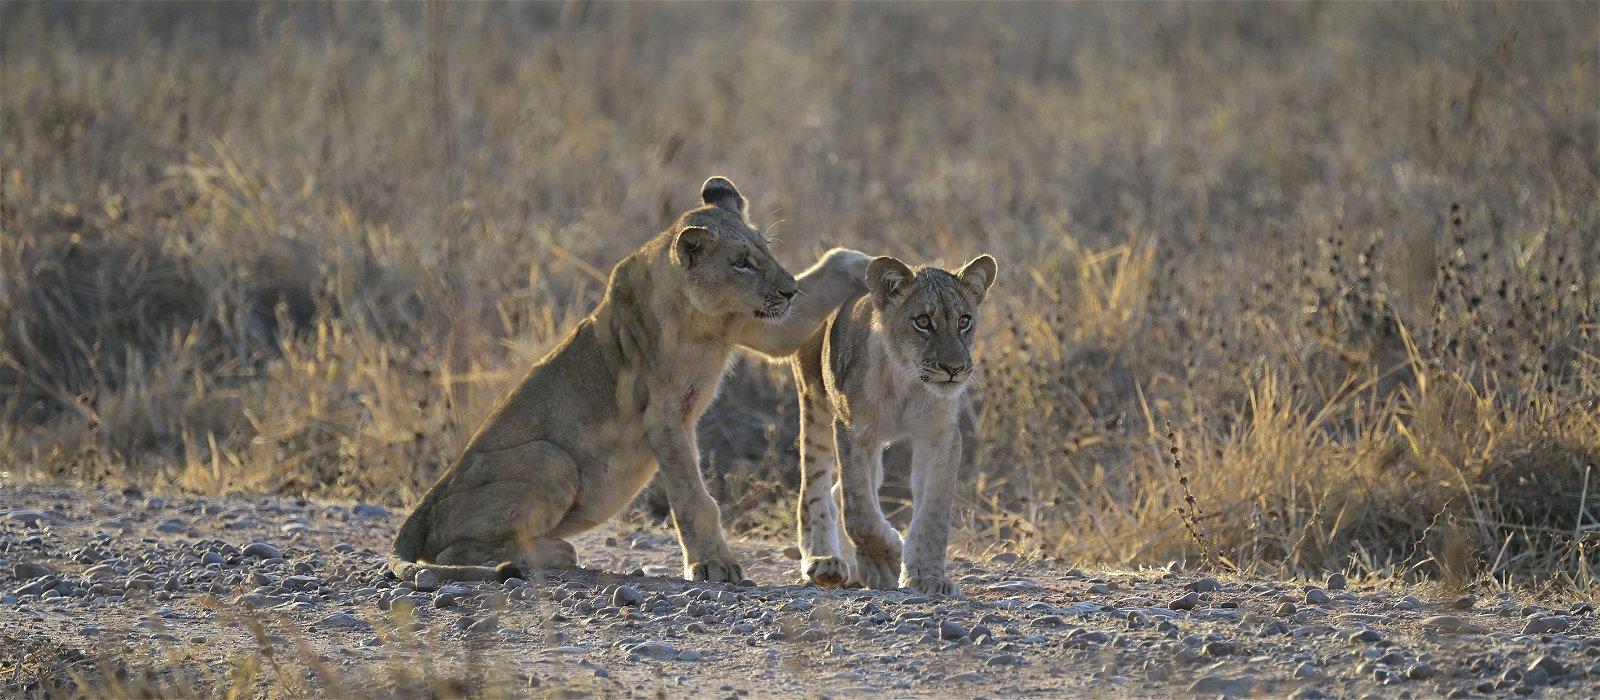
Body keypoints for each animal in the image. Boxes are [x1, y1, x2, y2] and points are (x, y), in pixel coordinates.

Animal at [389, 176, 870, 584]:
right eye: (741, 264)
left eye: (765, 250)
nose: (789, 291)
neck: (705, 316)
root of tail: (423, 505)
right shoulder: (663, 415)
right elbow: (693, 498)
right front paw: (714, 566)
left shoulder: (763, 328)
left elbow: (835, 262)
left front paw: (872, 267)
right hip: (551, 458)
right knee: (451, 554)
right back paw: (552, 554)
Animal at [790, 253, 998, 597]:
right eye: (923, 322)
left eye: (964, 321)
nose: (954, 369)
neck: (907, 381)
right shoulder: (853, 431)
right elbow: (858, 509)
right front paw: (882, 561)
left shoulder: (940, 436)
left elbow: (933, 513)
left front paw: (926, 576)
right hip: (814, 403)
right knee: (815, 490)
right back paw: (824, 561)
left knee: (838, 491)